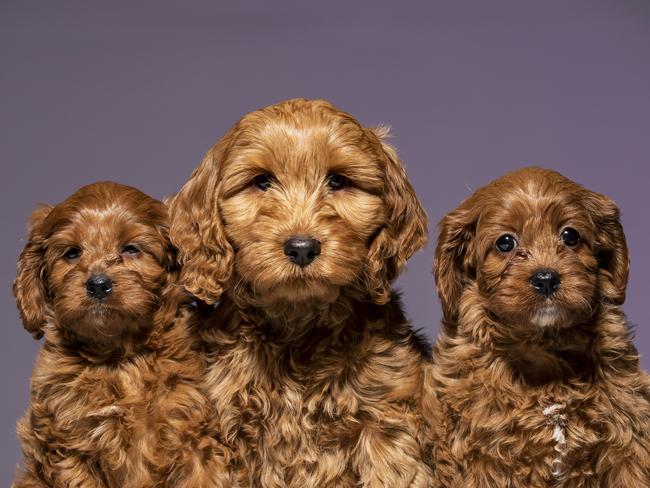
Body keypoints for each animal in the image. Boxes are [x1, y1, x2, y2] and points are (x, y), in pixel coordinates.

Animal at [12, 182, 234, 488]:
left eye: (131, 250)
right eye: (72, 253)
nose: (98, 284)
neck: (120, 356)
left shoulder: (194, 437)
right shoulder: (71, 447)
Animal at [168, 97, 430, 486]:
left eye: (338, 180)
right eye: (262, 182)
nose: (302, 247)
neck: (297, 326)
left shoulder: (386, 425)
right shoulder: (219, 431)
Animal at [422, 169, 648, 488]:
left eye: (570, 235)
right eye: (505, 243)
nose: (546, 278)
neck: (543, 345)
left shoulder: (626, 438)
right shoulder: (477, 455)